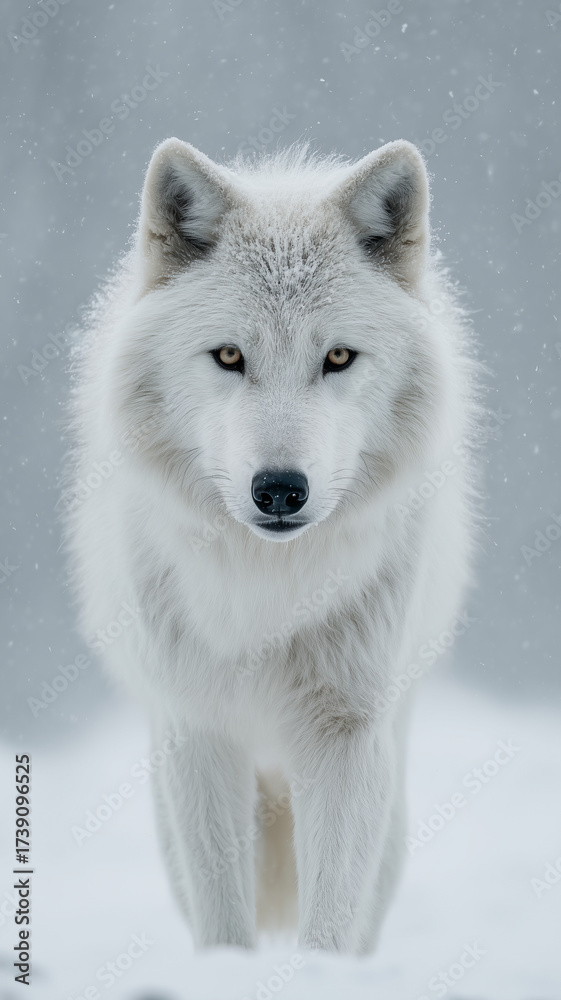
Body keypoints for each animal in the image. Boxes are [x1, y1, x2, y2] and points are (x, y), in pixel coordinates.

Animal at [64, 137, 480, 954]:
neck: (268, 589)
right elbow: (225, 921)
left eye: (339, 359)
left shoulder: (347, 733)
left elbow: (330, 921)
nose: (280, 490)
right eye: (228, 357)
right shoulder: (198, 731)